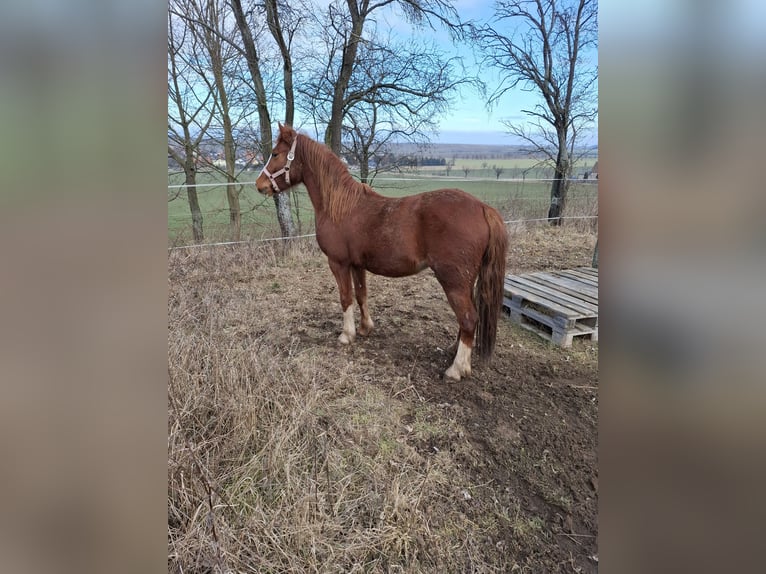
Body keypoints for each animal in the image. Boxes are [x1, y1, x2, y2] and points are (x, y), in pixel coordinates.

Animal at [258, 124, 510, 380]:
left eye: (276, 154)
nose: (260, 185)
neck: (340, 206)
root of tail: (483, 208)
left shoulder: (338, 263)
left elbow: (345, 297)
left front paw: (346, 335)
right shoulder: (357, 265)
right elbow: (361, 295)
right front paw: (364, 328)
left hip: (453, 280)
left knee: (468, 318)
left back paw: (456, 369)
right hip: (466, 281)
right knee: (468, 317)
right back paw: (456, 354)